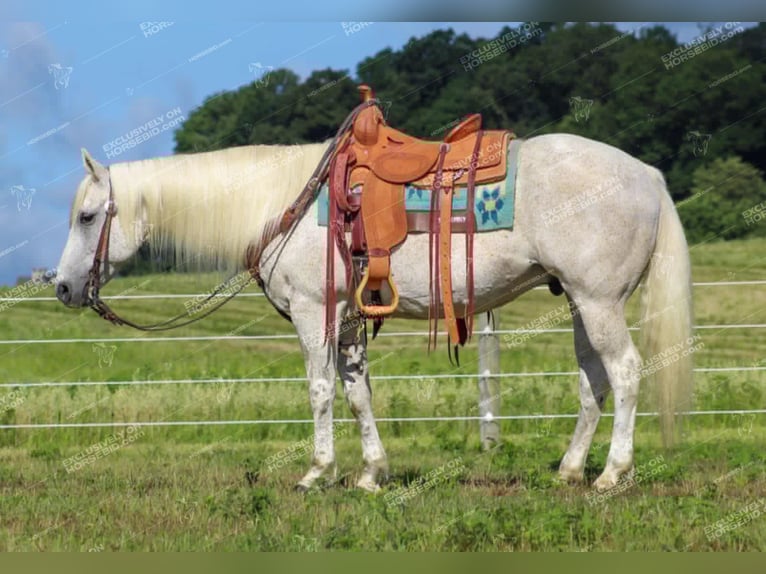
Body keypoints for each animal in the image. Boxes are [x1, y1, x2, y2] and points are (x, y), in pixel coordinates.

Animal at [57, 134, 696, 490]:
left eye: (87, 217)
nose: (62, 288)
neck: (280, 203)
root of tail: (647, 175)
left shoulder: (314, 313)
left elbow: (319, 391)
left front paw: (318, 472)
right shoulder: (347, 320)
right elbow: (358, 393)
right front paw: (371, 473)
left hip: (600, 302)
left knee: (626, 373)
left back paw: (612, 474)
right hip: (583, 304)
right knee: (593, 381)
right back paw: (570, 470)